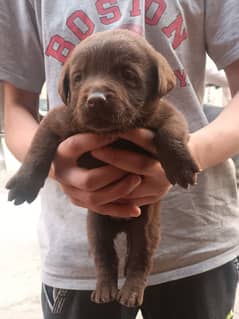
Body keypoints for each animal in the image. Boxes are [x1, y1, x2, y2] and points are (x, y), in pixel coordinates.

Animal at [6, 29, 199, 308]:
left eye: (128, 75)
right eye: (78, 77)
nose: (95, 100)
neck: (113, 133)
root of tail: (122, 224)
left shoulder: (168, 114)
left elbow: (171, 134)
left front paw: (181, 166)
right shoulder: (56, 119)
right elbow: (38, 149)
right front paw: (24, 184)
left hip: (146, 229)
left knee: (139, 260)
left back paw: (130, 292)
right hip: (96, 228)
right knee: (105, 258)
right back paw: (106, 289)